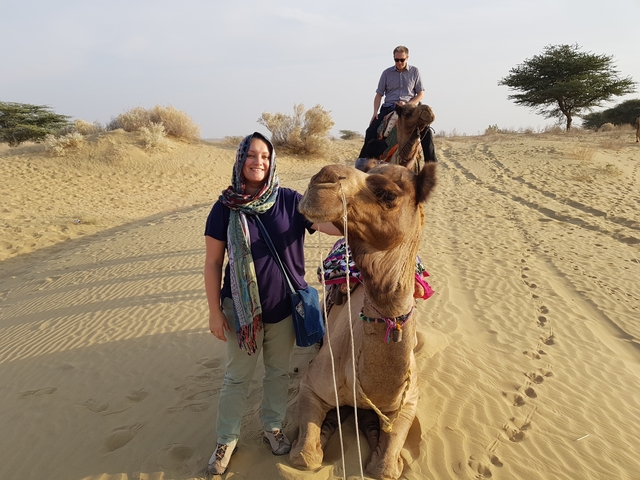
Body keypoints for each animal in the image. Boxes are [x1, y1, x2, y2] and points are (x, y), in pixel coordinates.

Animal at [289, 104, 437, 479]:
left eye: (388, 194)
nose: (322, 179)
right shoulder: (312, 384)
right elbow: (304, 458)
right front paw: (324, 431)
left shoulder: (408, 401)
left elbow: (385, 468)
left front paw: (376, 441)